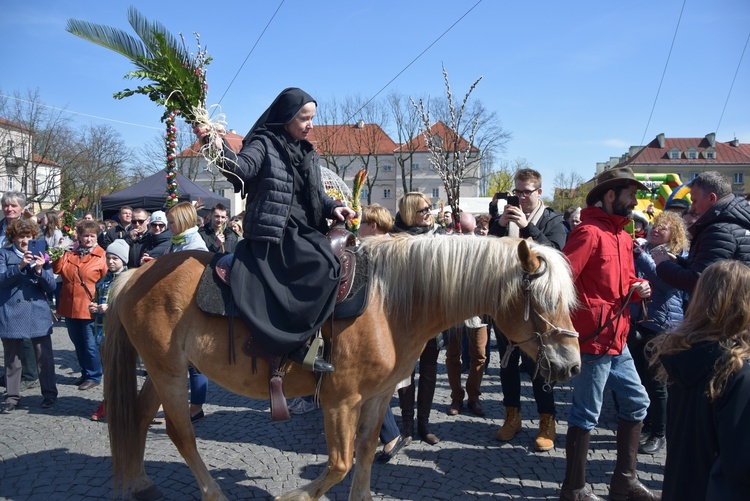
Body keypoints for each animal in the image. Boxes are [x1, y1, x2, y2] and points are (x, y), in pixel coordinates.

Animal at [103, 235, 580, 500]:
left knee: (140, 416)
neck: (390, 305)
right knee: (180, 432)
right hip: (167, 370)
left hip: (164, 369)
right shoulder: (339, 400)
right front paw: (293, 497)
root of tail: (133, 274)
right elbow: (339, 462)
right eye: (542, 299)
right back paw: (212, 493)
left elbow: (366, 452)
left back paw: (138, 483)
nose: (572, 365)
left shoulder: (380, 395)